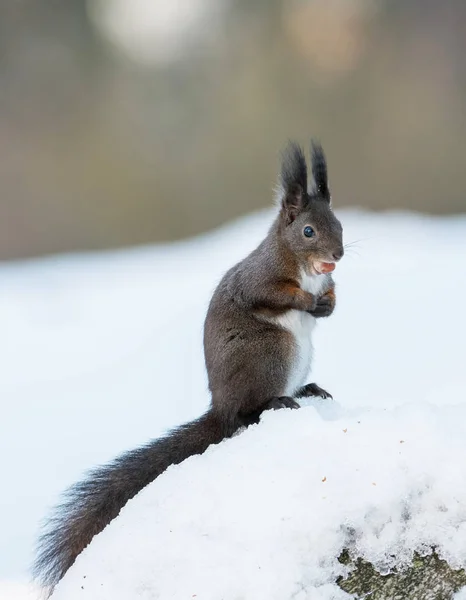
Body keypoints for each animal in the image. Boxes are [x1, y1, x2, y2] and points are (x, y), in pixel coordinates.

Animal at [34, 141, 344, 596]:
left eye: (338, 224)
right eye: (308, 232)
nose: (338, 255)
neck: (304, 268)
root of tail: (221, 406)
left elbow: (331, 300)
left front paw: (328, 303)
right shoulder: (261, 276)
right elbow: (269, 293)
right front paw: (307, 301)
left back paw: (308, 390)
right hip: (272, 353)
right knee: (245, 414)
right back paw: (276, 402)